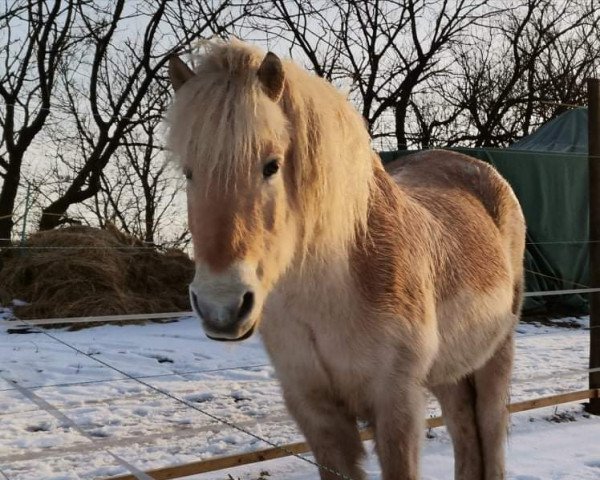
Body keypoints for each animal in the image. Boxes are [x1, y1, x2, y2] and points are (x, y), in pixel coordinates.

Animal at [165, 39, 524, 478]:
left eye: (271, 165)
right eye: (189, 172)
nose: (222, 307)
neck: (332, 293)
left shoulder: (397, 404)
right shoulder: (314, 408)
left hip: (495, 357)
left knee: (488, 434)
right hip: (450, 372)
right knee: (465, 432)